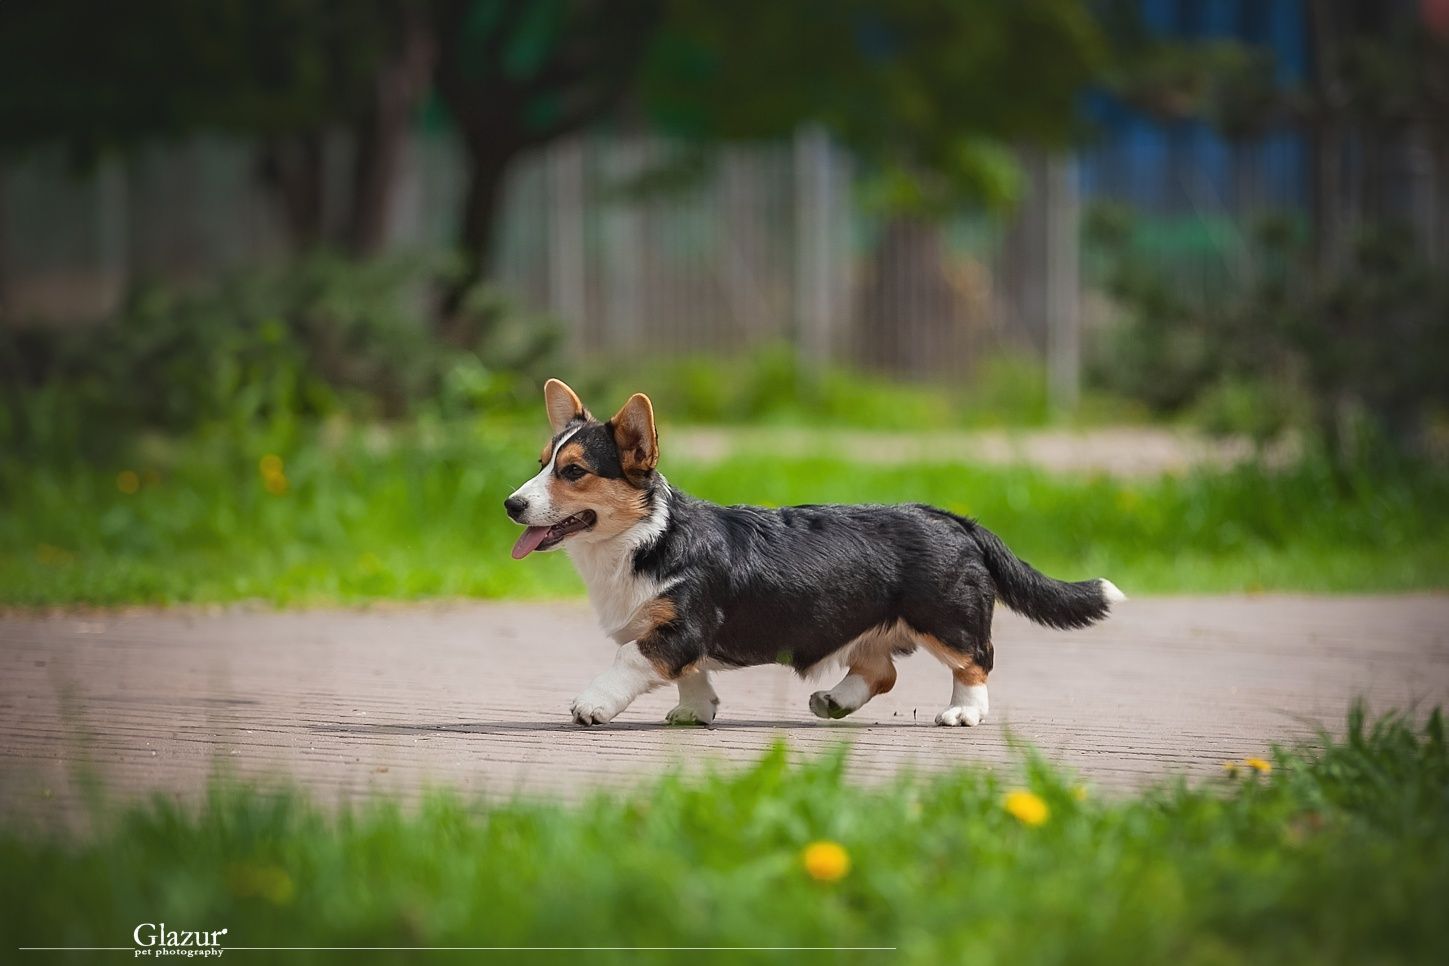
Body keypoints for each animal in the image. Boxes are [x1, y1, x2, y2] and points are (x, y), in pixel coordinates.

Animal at [504, 376, 1124, 724]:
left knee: (976, 661)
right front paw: (695, 712)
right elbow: (691, 675)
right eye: (542, 463)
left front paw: (592, 705)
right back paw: (834, 702)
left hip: (946, 619)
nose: (510, 504)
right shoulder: (683, 641)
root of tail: (956, 520)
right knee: (880, 670)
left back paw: (962, 714)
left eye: (574, 471)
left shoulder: (677, 628)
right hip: (876, 624)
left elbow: (628, 661)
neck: (645, 538)